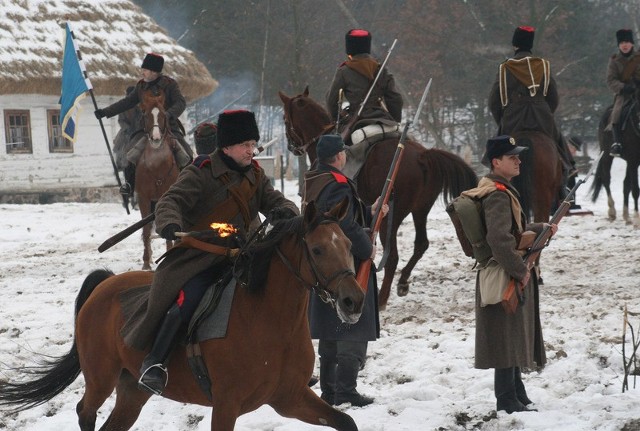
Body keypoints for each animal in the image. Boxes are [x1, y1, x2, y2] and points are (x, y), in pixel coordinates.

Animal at [0, 201, 368, 430]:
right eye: (317, 249)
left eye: (349, 245)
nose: (353, 301)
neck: (272, 322)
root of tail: (105, 284)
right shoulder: (226, 405)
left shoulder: (289, 398)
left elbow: (345, 422)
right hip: (100, 376)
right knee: (85, 412)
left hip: (132, 390)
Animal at [278, 87, 478, 308]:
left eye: (285, 118)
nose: (292, 147)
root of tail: (422, 156)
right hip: (421, 210)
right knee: (421, 244)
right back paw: (402, 282)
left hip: (394, 217)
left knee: (392, 257)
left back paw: (382, 298)